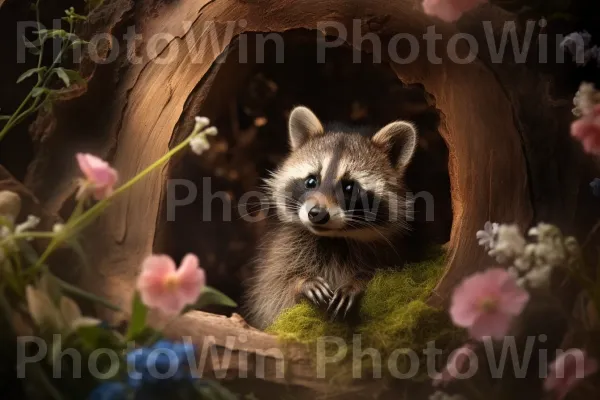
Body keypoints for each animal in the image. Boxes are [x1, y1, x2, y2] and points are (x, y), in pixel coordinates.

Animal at [245, 106, 418, 328]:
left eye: (349, 187)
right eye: (311, 181)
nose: (317, 214)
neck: (334, 237)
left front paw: (358, 282)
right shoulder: (282, 250)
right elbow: (274, 290)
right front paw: (301, 282)